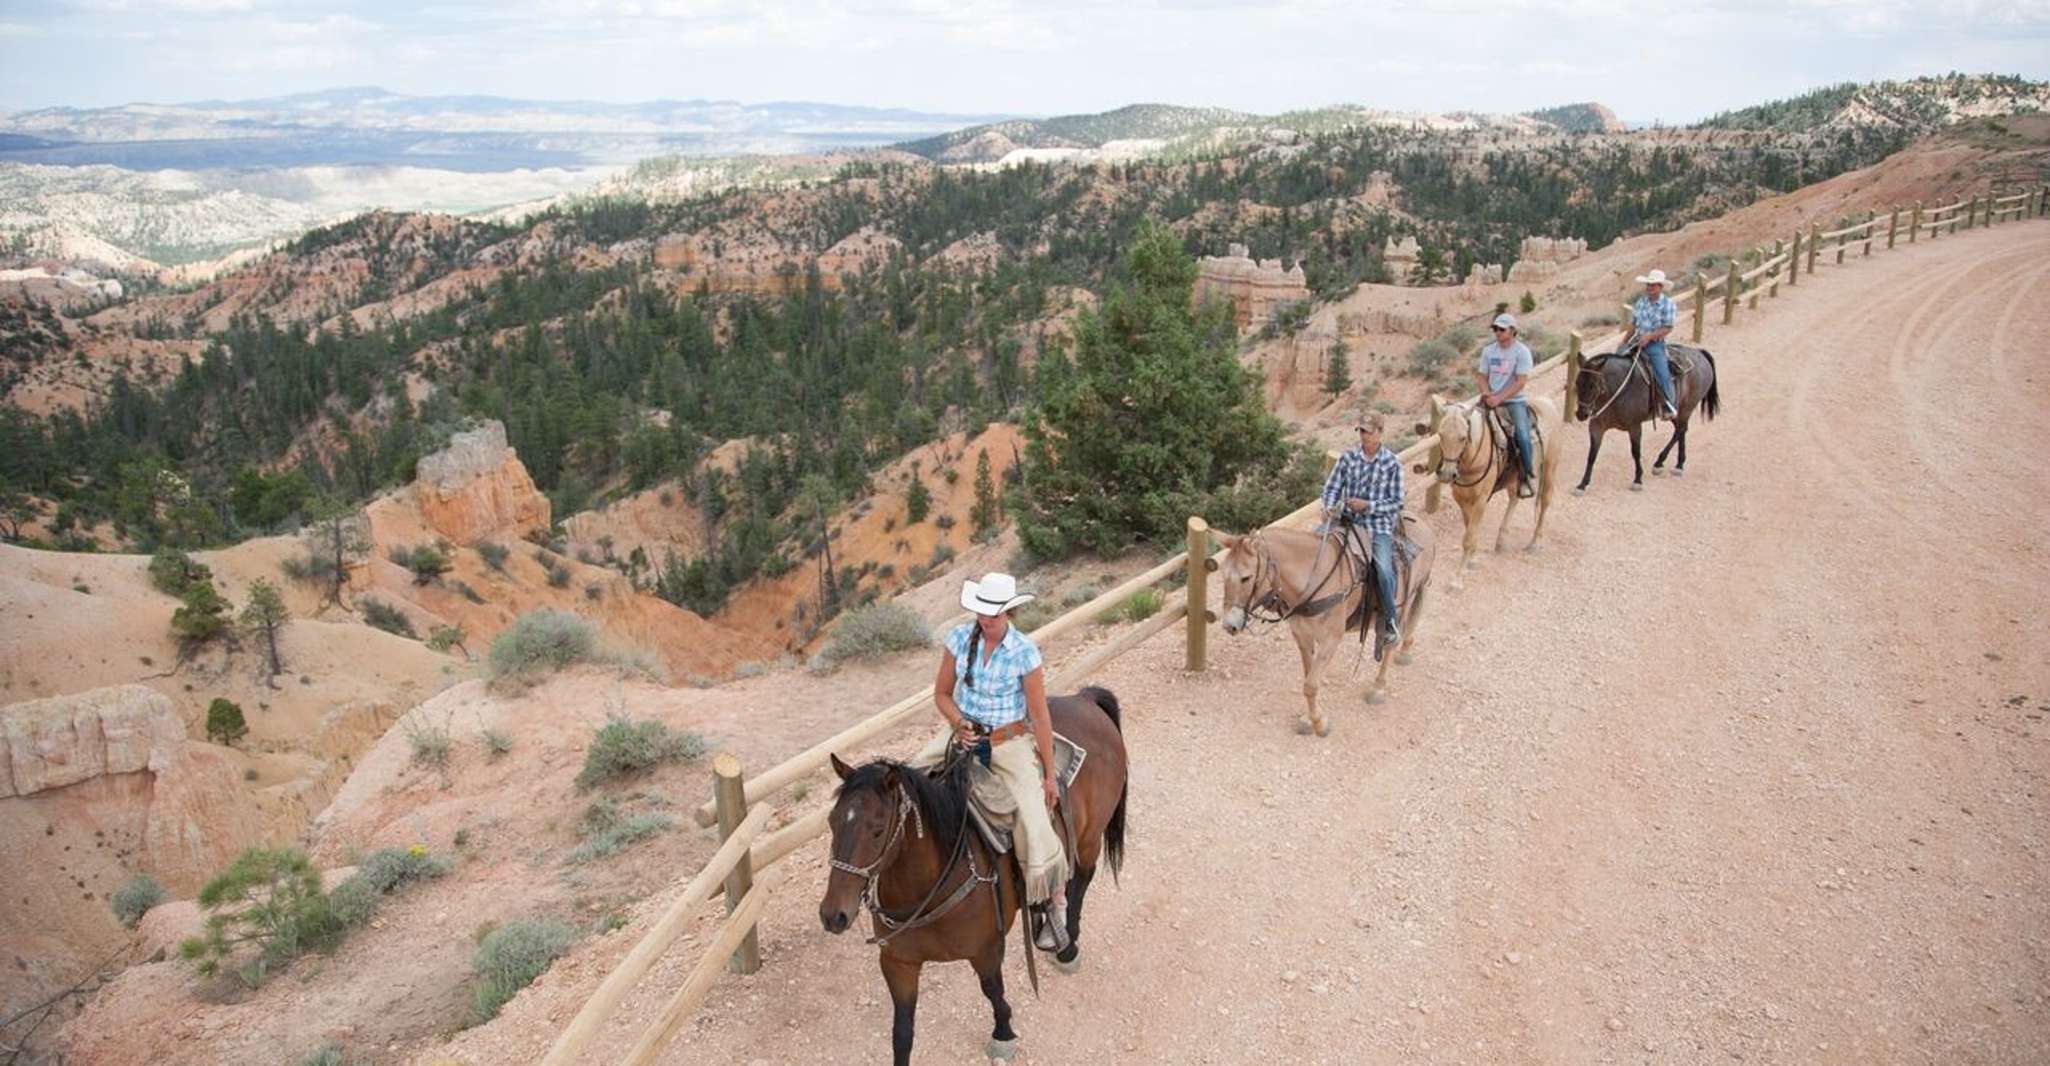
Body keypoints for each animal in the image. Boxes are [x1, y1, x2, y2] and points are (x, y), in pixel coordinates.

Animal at [820, 692, 1139, 1066]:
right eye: (832, 822)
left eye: (877, 829)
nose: (833, 915)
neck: (929, 887)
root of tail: (1084, 698)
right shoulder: (898, 964)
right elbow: (901, 1033)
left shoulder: (986, 949)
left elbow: (992, 990)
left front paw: (1003, 1032)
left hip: (1089, 839)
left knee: (1081, 880)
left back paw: (1068, 944)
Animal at [1213, 522, 1443, 738]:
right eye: (1223, 574)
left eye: (1246, 577)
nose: (1229, 624)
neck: (1313, 580)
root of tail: (1424, 527)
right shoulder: (1302, 637)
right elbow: (1308, 678)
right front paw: (1309, 719)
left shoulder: (1330, 640)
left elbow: (1311, 685)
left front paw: (1319, 723)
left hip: (1403, 603)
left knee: (1390, 644)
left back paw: (1378, 688)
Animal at [1418, 393, 1558, 590]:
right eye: (1441, 435)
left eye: (1463, 437)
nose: (1446, 473)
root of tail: (1547, 402)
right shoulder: (1461, 498)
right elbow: (1470, 529)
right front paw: (1473, 560)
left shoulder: (1481, 500)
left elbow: (1468, 537)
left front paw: (1457, 579)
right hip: (1514, 478)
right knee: (1514, 498)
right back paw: (1501, 541)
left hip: (1550, 467)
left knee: (1545, 501)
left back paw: (1534, 543)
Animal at [1574, 344, 1722, 494]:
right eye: (1577, 383)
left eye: (1593, 385)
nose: (1581, 414)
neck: (1617, 390)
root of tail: (1699, 352)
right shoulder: (1596, 426)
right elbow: (1592, 455)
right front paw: (1582, 484)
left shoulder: (1634, 427)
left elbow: (1636, 452)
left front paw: (1637, 480)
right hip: (1675, 412)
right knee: (1681, 430)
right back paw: (1678, 464)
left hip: (1686, 408)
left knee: (1680, 430)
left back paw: (1661, 462)